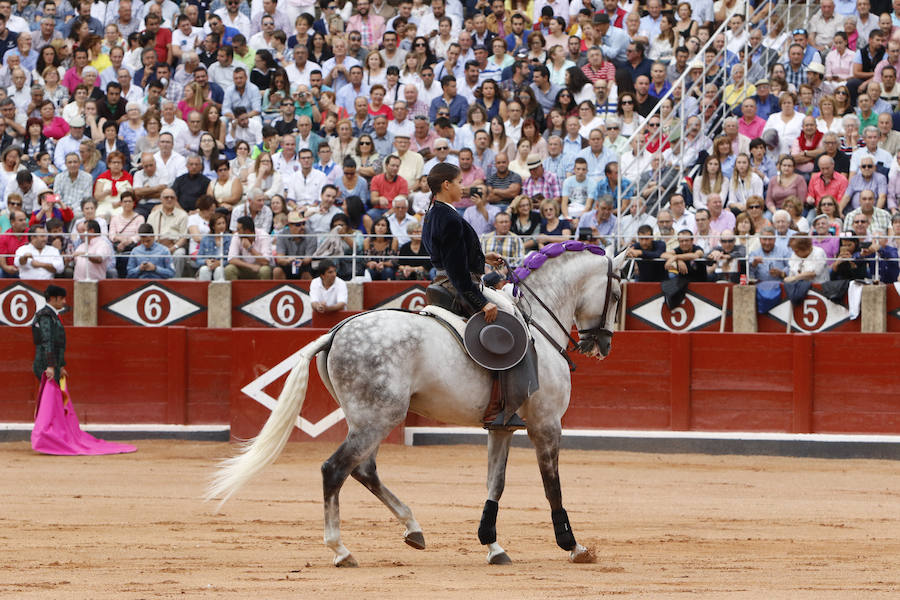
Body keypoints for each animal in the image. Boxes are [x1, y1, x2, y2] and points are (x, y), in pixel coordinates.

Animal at [207, 244, 624, 568]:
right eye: (618, 296)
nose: (602, 345)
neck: (539, 324)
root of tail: (335, 332)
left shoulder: (502, 426)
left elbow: (496, 482)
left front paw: (492, 545)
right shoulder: (546, 424)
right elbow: (552, 485)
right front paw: (574, 547)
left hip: (368, 418)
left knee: (364, 470)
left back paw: (413, 528)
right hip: (379, 418)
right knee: (335, 469)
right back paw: (341, 549)